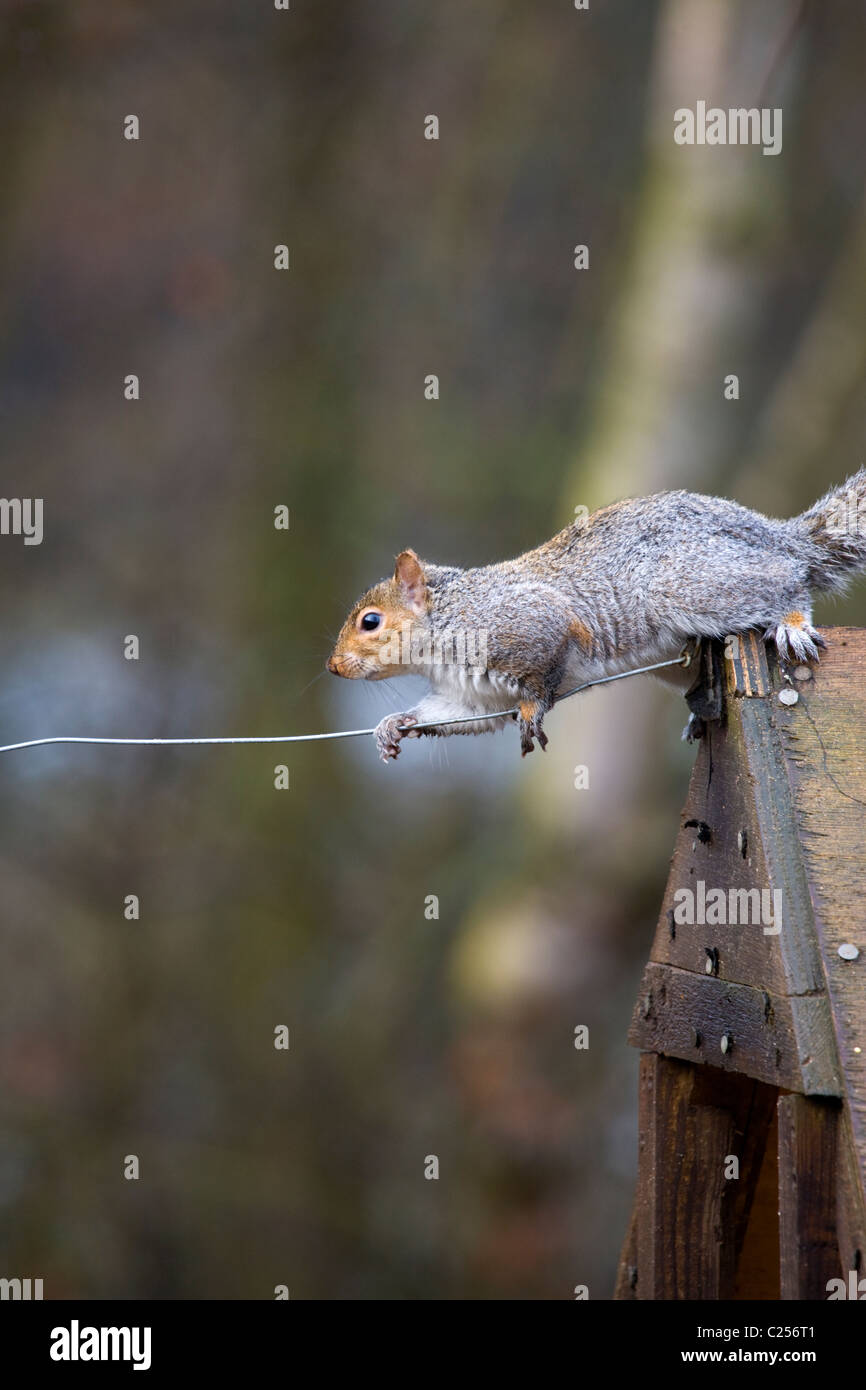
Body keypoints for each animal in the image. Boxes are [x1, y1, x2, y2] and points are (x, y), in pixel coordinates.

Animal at [326, 475, 866, 761]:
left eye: (370, 622)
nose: (333, 667)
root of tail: (771, 533)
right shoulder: (473, 695)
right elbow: (452, 715)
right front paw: (394, 723)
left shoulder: (529, 624)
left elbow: (542, 678)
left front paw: (531, 712)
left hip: (691, 585)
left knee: (787, 577)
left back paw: (792, 620)